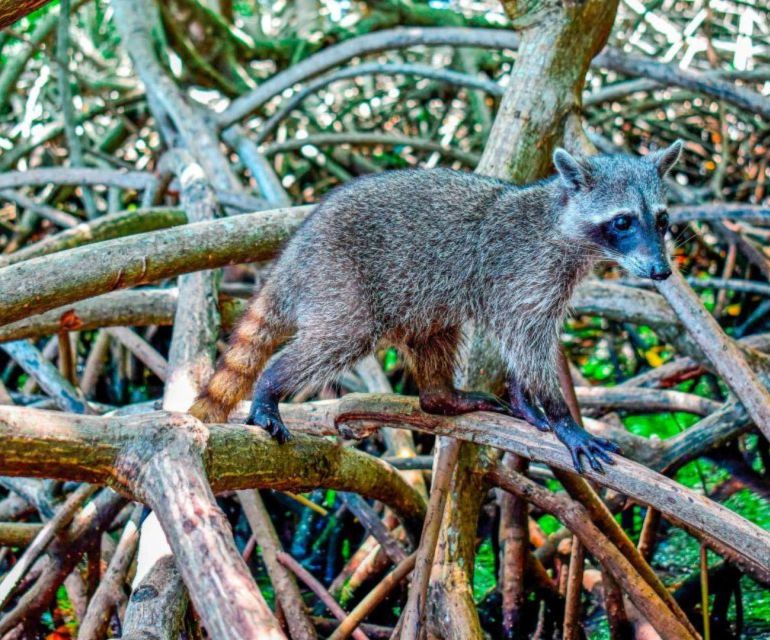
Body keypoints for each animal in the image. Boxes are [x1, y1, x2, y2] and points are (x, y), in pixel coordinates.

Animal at [190, 142, 680, 472]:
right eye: (622, 221)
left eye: (661, 219)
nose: (661, 271)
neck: (562, 221)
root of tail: (293, 255)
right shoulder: (525, 271)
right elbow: (525, 340)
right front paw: (560, 414)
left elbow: (522, 344)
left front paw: (523, 396)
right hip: (340, 278)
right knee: (340, 338)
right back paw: (271, 384)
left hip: (413, 295)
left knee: (434, 334)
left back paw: (441, 396)